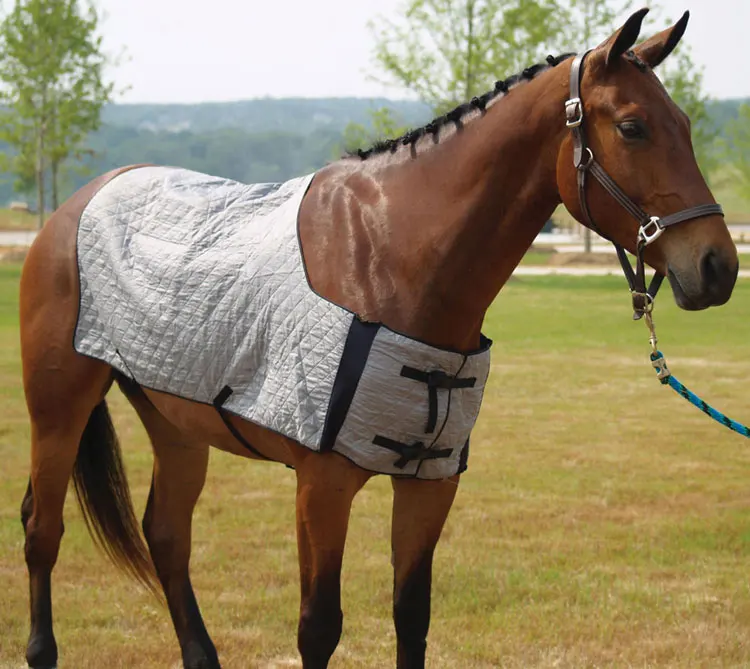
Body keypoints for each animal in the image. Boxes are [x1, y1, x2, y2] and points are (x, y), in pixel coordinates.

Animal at [18, 9, 738, 669]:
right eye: (632, 126)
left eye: (685, 124)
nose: (718, 267)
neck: (391, 256)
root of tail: (79, 203)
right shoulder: (321, 488)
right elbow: (319, 628)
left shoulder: (429, 483)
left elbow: (411, 616)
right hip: (58, 412)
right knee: (41, 529)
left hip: (176, 421)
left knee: (166, 534)